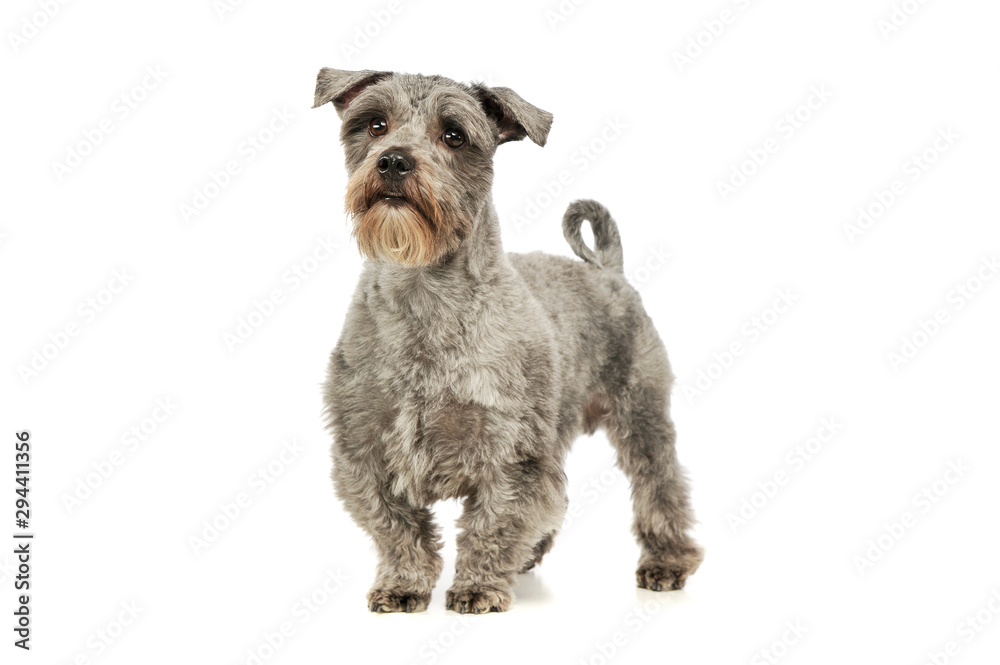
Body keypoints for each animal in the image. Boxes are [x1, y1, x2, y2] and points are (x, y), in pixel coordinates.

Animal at [312, 67, 704, 612]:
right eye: (374, 124)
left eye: (454, 135)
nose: (393, 160)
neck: (424, 295)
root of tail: (608, 271)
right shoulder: (364, 448)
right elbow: (395, 526)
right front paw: (404, 582)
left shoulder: (511, 451)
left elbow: (495, 521)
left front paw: (478, 584)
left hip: (641, 416)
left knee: (660, 485)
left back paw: (666, 561)